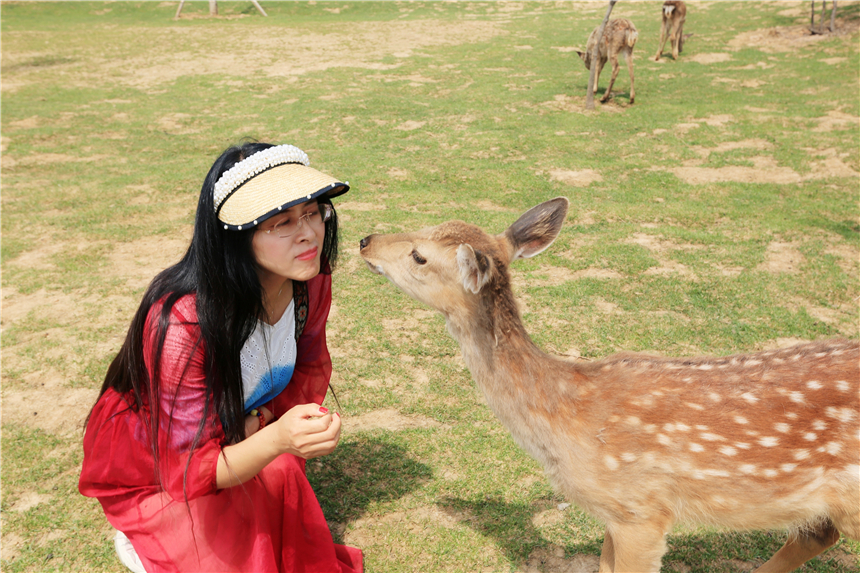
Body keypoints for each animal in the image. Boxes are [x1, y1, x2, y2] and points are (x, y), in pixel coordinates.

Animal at [362, 198, 860, 572]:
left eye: (420, 256)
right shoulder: (611, 513)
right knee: (817, 533)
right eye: (427, 225)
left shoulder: (642, 510)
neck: (563, 419)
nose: (366, 240)